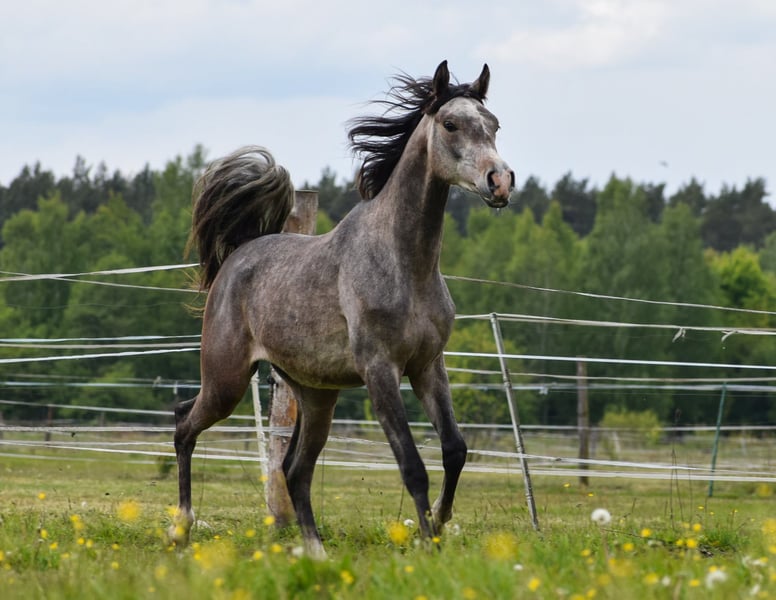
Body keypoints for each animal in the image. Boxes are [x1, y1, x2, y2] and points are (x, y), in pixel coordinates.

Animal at [169, 60, 514, 559]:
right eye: (451, 124)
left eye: (494, 125)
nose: (500, 182)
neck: (404, 262)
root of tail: (237, 256)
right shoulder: (380, 370)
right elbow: (412, 464)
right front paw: (427, 547)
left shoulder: (428, 366)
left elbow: (455, 449)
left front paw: (441, 523)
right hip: (225, 381)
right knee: (183, 425)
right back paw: (181, 529)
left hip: (316, 395)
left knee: (294, 470)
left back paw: (316, 551)